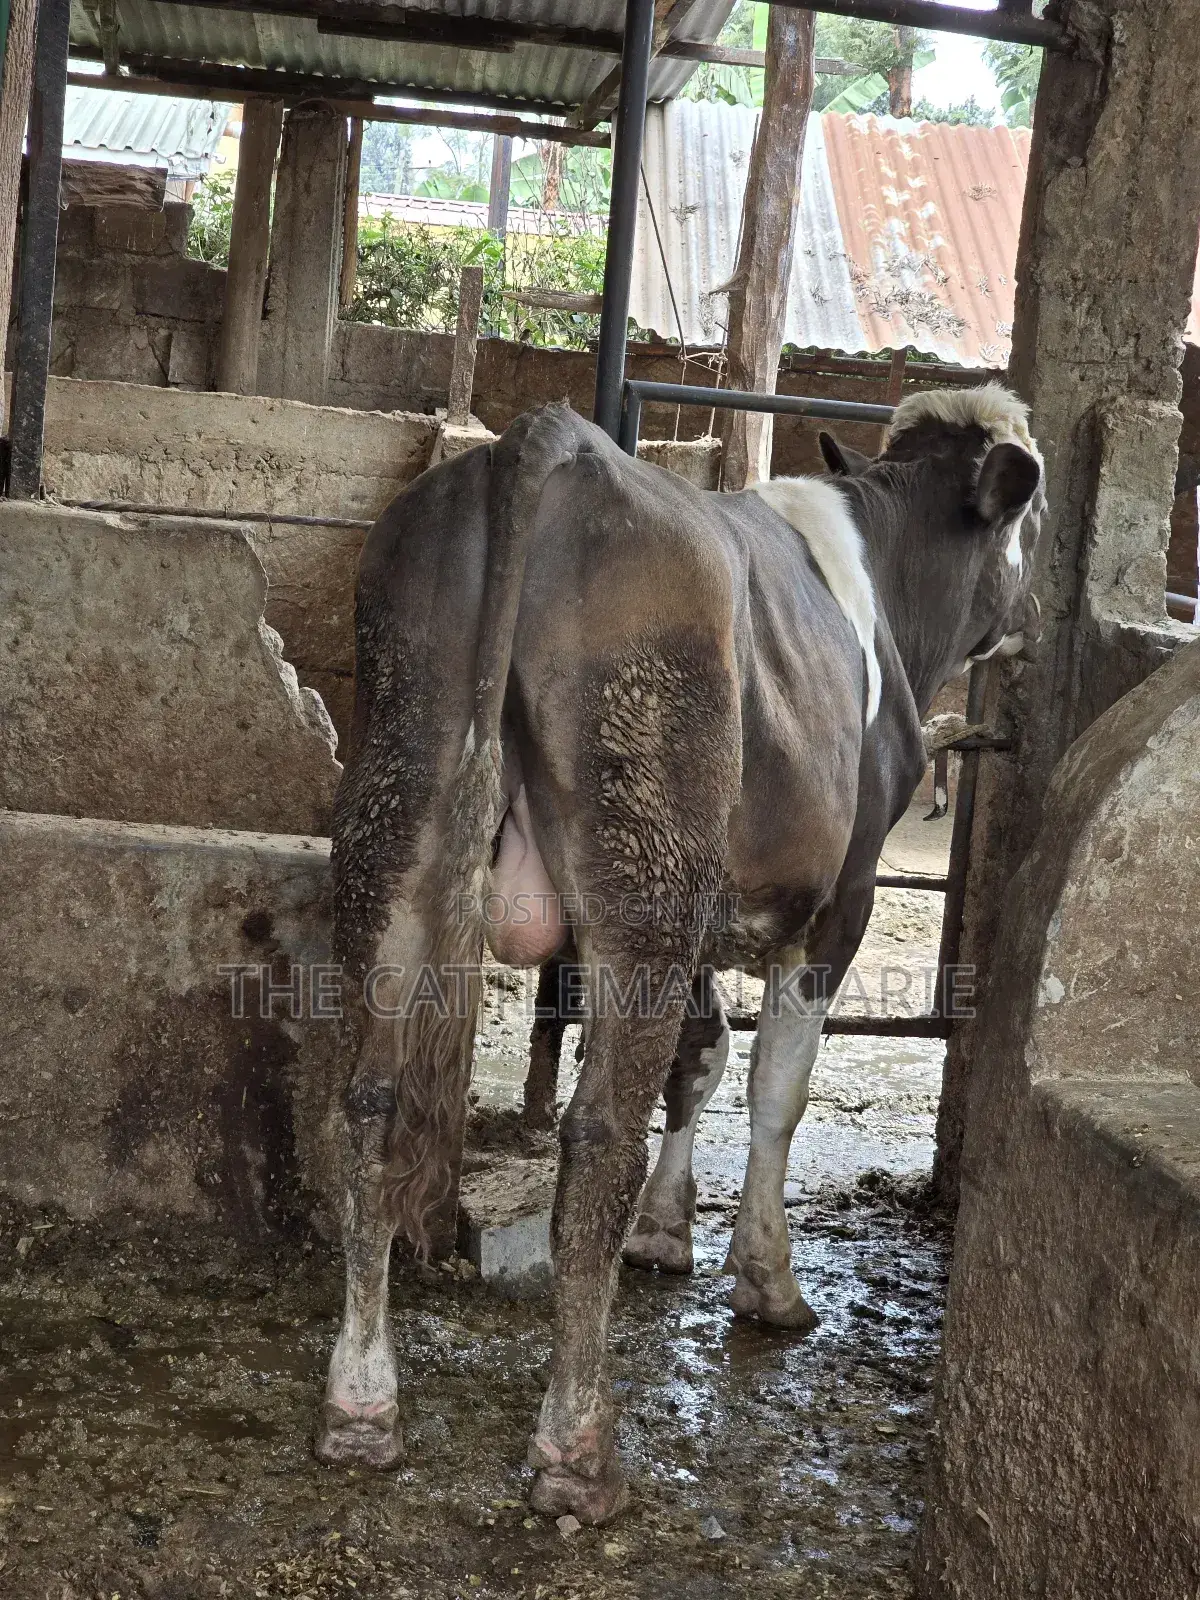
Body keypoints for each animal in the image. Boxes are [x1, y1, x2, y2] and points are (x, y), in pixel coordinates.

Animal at [317, 385, 1045, 1525]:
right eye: (1031, 523)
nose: (1036, 618)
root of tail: (554, 440)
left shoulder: (707, 911)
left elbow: (699, 1060)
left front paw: (665, 1233)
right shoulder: (840, 904)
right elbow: (774, 1091)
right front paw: (767, 1279)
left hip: (401, 807)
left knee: (369, 1101)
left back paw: (360, 1404)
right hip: (642, 865)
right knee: (594, 1133)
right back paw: (579, 1452)